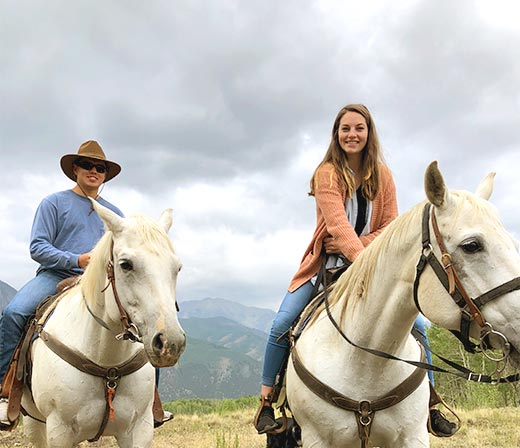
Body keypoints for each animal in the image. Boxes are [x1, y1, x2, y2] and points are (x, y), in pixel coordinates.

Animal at [20, 201, 187, 446]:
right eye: (125, 265)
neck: (108, 364)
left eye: (177, 268)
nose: (170, 343)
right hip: (34, 422)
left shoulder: (140, 428)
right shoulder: (59, 432)